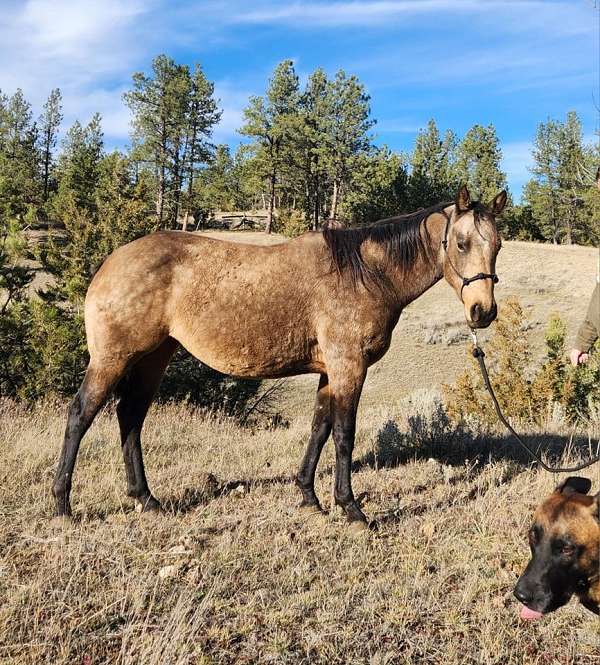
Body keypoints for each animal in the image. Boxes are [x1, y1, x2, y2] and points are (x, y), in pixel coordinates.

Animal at [52, 185, 506, 528]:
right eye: (461, 243)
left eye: (498, 246)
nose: (482, 312)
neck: (364, 274)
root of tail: (111, 262)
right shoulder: (348, 368)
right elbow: (344, 435)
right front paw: (351, 508)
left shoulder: (330, 371)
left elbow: (319, 428)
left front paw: (309, 496)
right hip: (113, 359)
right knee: (81, 415)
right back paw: (63, 504)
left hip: (153, 359)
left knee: (130, 417)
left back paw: (146, 498)